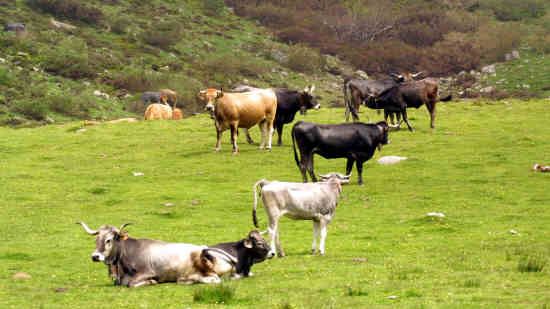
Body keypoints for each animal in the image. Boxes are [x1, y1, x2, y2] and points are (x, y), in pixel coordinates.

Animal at [79, 221, 272, 284]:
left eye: (109, 240)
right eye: (96, 239)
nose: (95, 256)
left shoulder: (146, 272)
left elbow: (132, 284)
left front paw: (151, 282)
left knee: (215, 280)